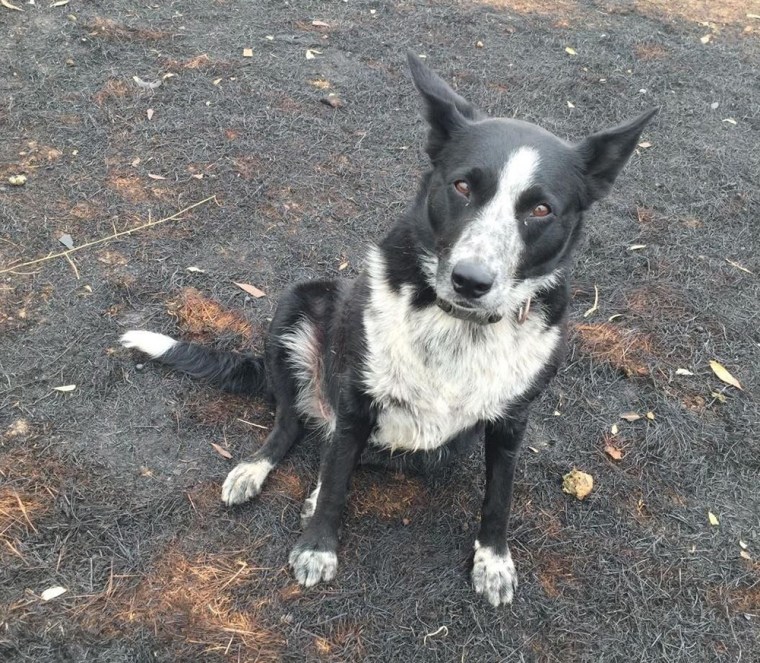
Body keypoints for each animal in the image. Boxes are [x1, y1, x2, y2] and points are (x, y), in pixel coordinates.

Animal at [121, 53, 656, 608]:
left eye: (541, 209)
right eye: (463, 186)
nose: (471, 280)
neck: (457, 326)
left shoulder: (511, 422)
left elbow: (499, 497)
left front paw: (493, 560)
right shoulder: (357, 398)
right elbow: (337, 479)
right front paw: (318, 546)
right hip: (296, 306)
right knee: (294, 425)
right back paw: (256, 469)